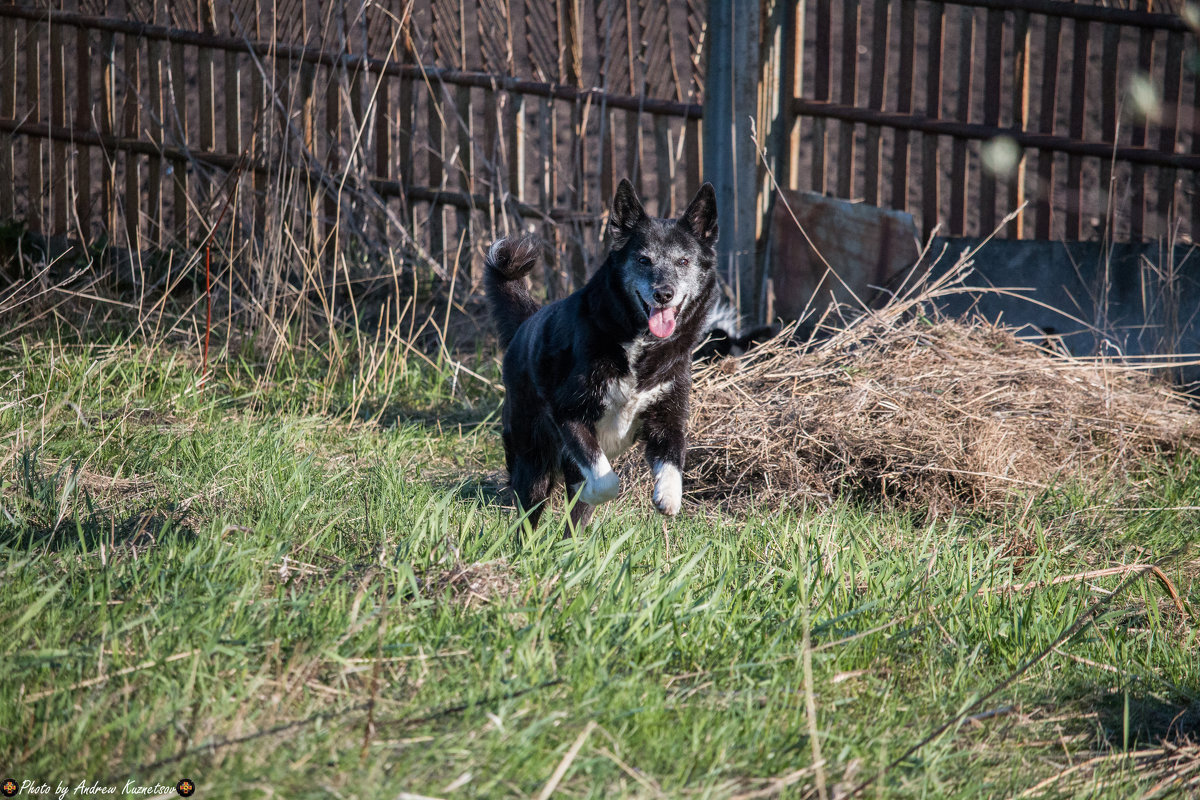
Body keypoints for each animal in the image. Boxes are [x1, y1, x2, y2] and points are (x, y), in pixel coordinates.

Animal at [482, 181, 715, 532]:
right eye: (643, 259)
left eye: (684, 261)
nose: (664, 294)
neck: (638, 346)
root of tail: (527, 322)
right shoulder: (570, 414)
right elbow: (606, 483)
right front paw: (593, 490)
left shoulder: (667, 417)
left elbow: (673, 460)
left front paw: (668, 497)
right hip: (532, 460)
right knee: (528, 514)